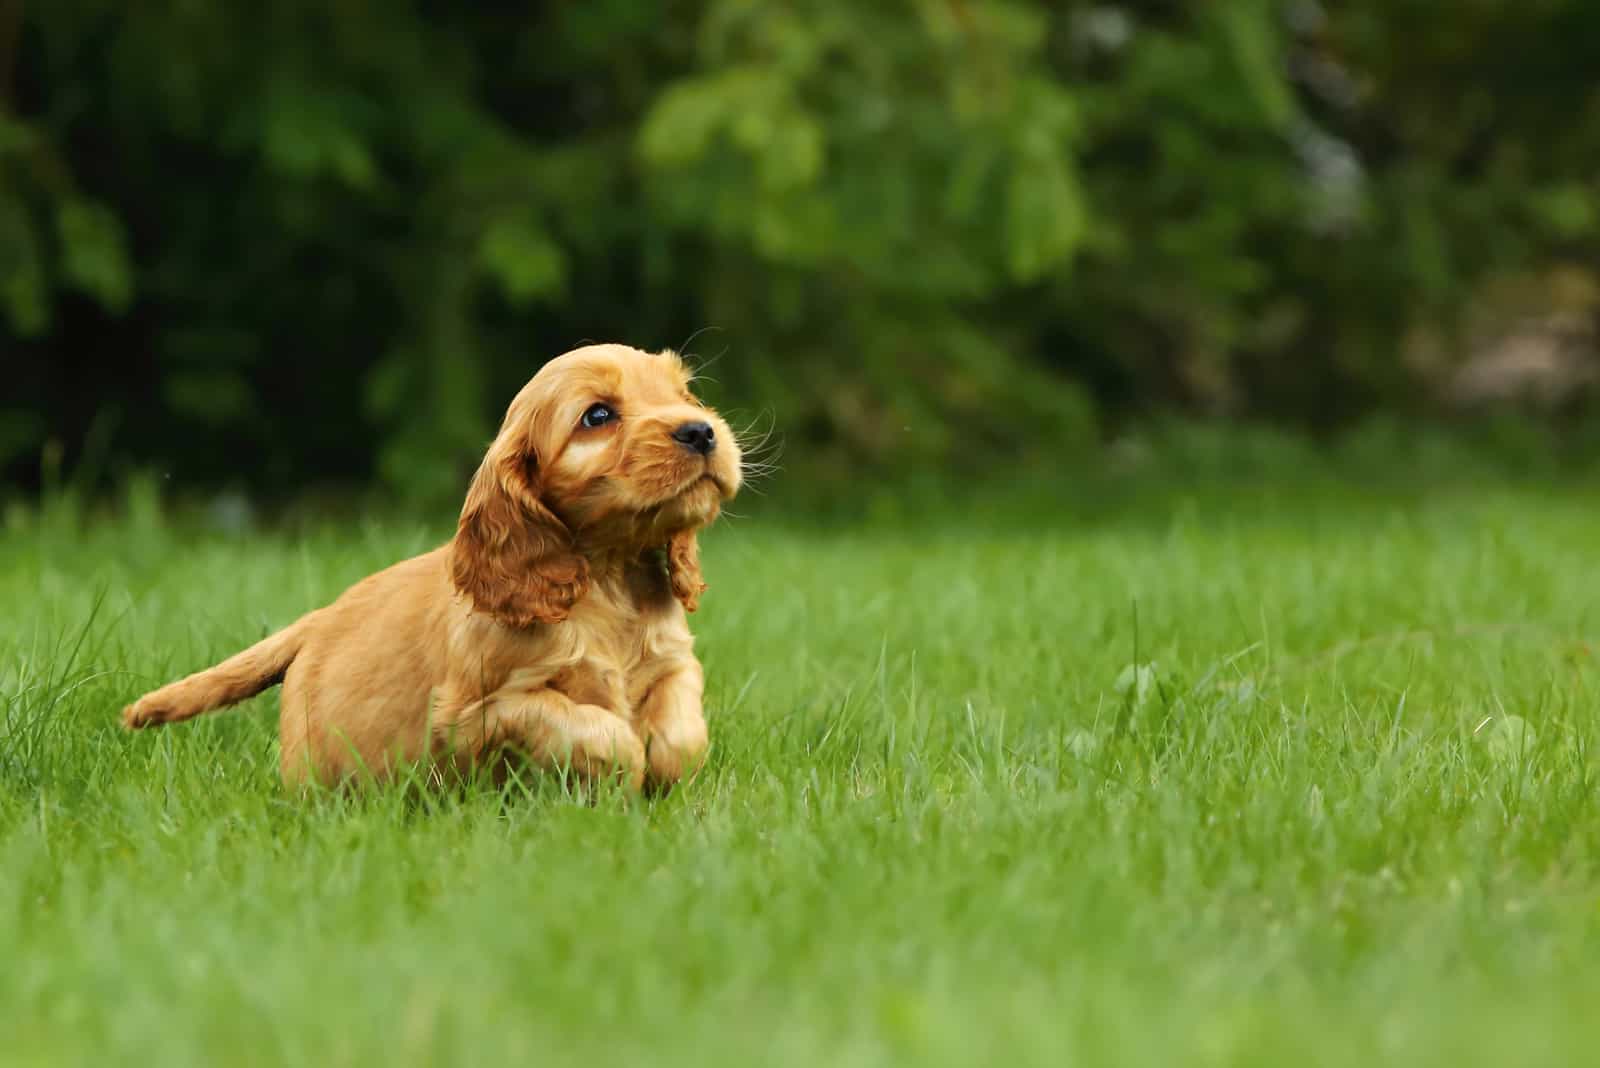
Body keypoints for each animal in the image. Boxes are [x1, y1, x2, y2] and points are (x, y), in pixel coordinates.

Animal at [120, 343, 742, 793]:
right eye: (598, 416)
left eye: (684, 394)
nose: (701, 430)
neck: (607, 577)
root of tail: (317, 620)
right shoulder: (481, 713)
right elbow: (587, 725)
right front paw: (628, 762)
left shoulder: (674, 662)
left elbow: (682, 731)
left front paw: (663, 771)